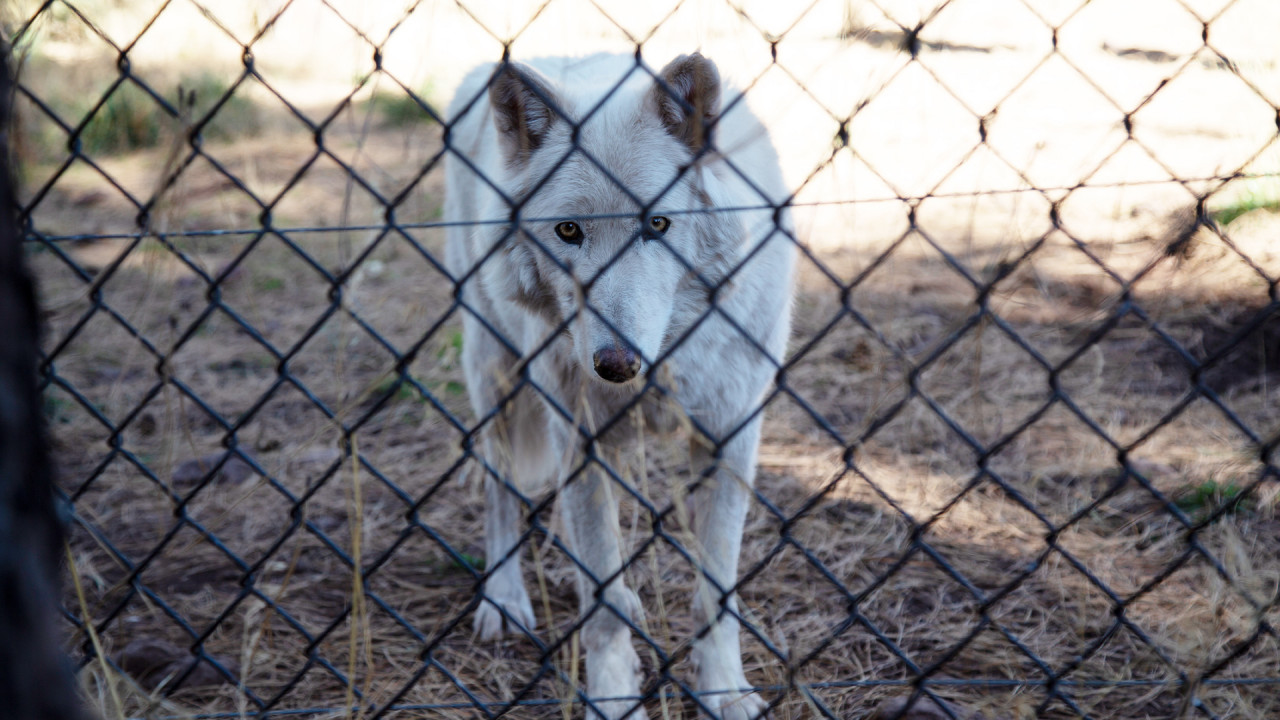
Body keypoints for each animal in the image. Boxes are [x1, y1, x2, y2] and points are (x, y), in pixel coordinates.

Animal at [445, 51, 793, 717]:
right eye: (568, 232)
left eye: (657, 224)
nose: (615, 363)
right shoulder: (577, 436)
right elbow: (602, 610)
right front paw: (612, 698)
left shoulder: (730, 438)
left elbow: (716, 593)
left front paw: (725, 690)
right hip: (494, 372)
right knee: (503, 494)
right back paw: (504, 599)